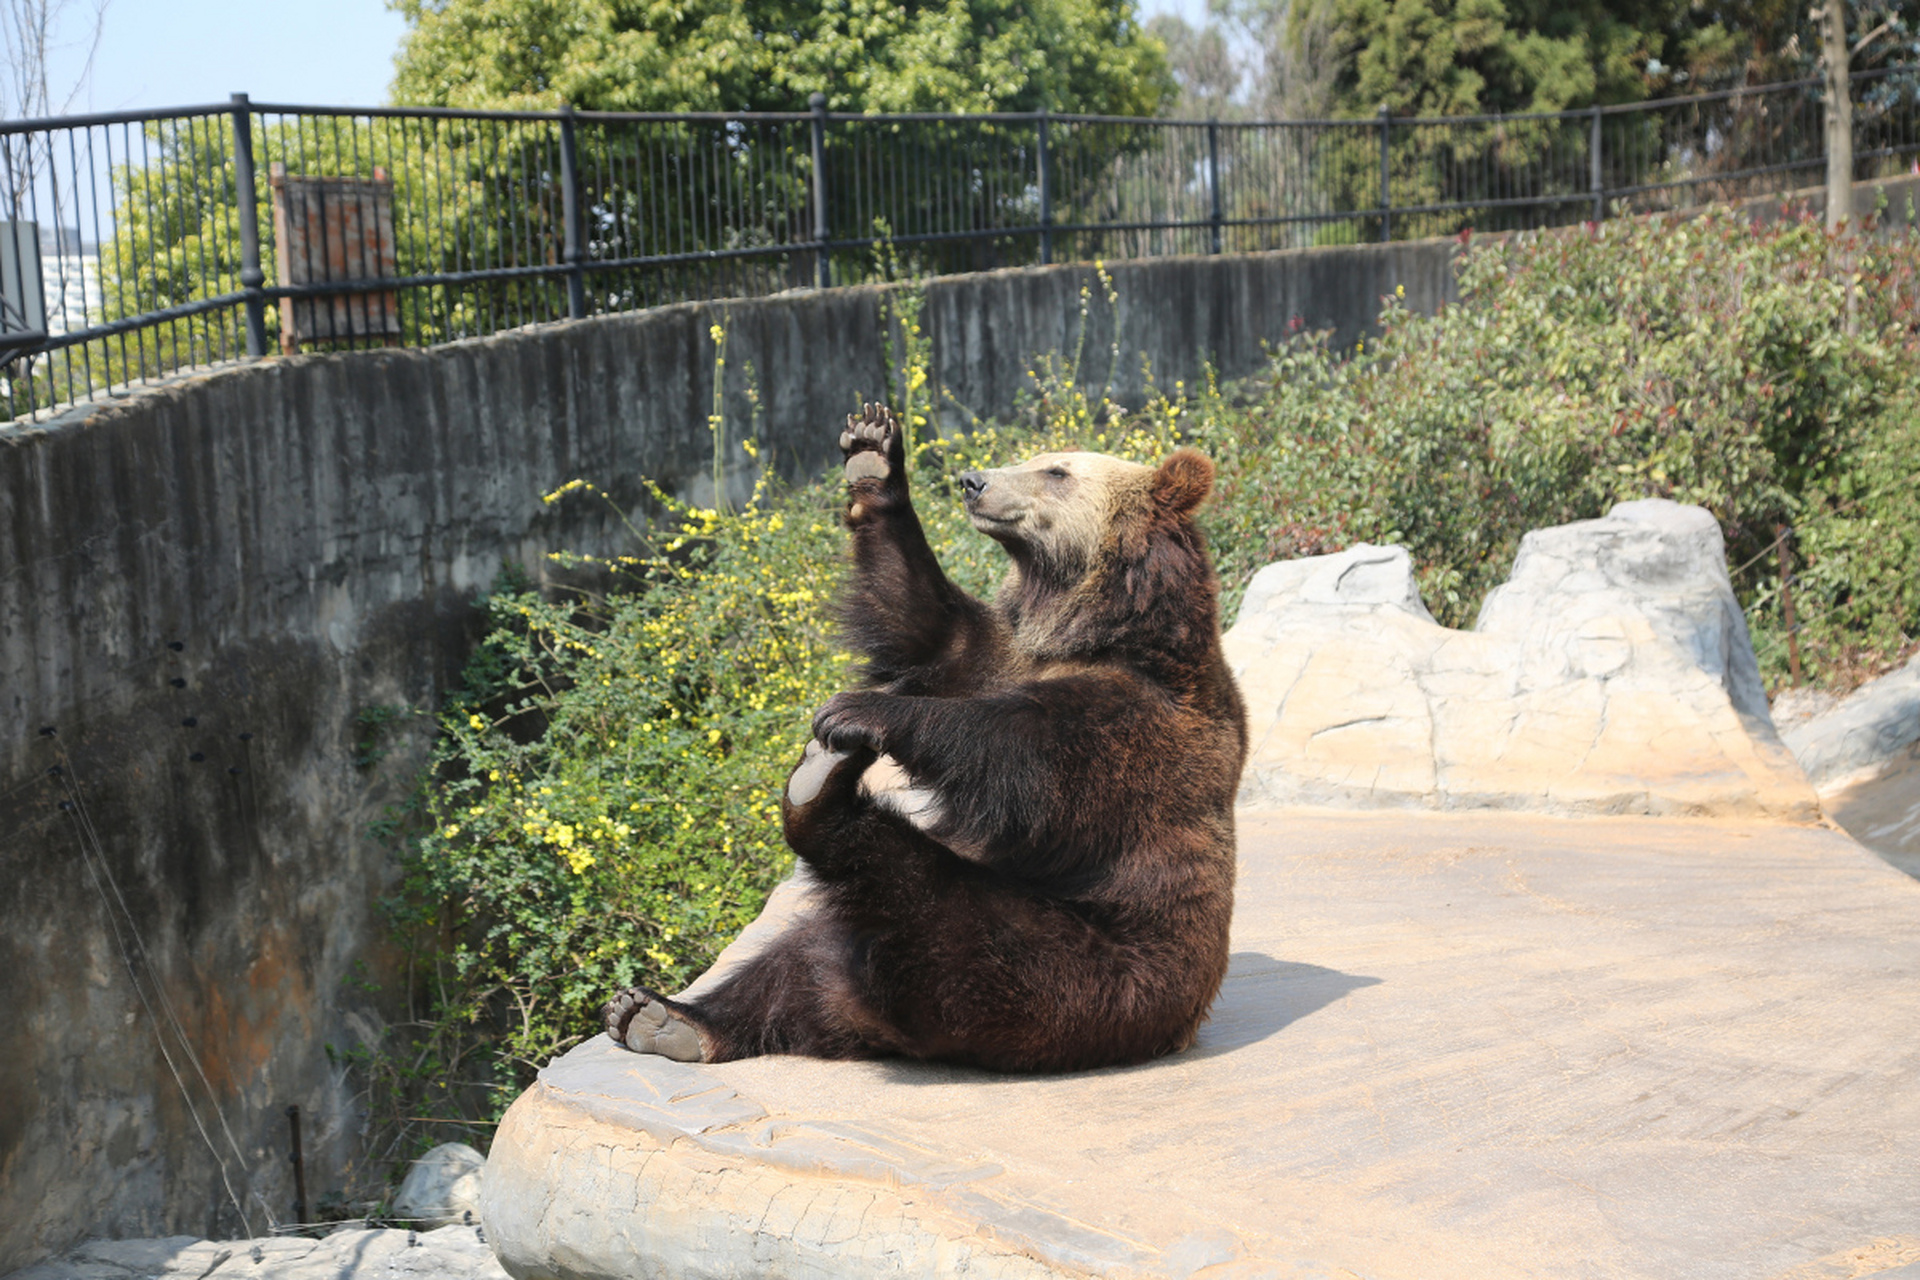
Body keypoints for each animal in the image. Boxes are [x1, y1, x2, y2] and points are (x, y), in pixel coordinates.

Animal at [601, 402, 1247, 1072]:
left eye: (1057, 471)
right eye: (1038, 458)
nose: (974, 481)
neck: (1097, 624)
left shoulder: (1141, 722)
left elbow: (1021, 754)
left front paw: (858, 710)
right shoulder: (1003, 651)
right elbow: (924, 621)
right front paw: (871, 452)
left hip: (1089, 968)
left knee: (932, 911)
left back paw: (820, 793)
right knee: (790, 962)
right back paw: (661, 1017)